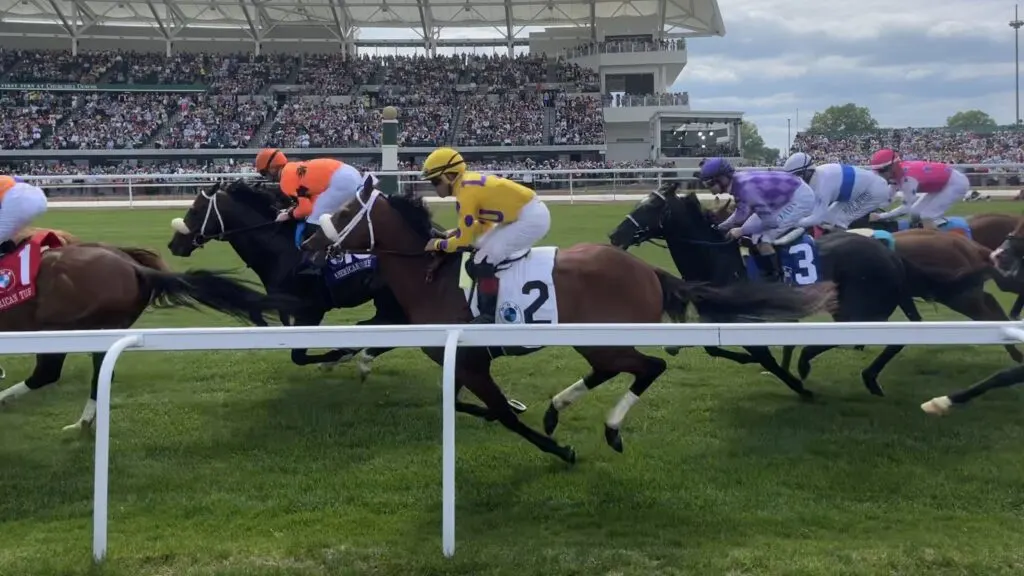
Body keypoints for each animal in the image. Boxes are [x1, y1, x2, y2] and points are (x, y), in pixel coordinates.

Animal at [0, 228, 299, 430]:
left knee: (46, 373)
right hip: (102, 326)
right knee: (98, 374)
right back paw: (84, 421)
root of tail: (133, 267)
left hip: (58, 325)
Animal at [165, 179, 405, 377]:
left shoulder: (311, 310)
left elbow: (298, 356)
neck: (282, 249)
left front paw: (335, 356)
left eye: (195, 210)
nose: (173, 245)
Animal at [294, 180, 831, 461]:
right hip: (594, 341)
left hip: (607, 337)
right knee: (614, 369)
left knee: (648, 367)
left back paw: (609, 428)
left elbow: (503, 416)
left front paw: (559, 451)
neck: (432, 280)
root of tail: (649, 270)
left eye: (347, 208)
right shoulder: (458, 363)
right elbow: (469, 406)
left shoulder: (471, 363)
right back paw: (558, 407)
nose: (309, 243)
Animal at [606, 186, 921, 397]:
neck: (720, 262)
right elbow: (714, 349)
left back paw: (817, 365)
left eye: (649, 207)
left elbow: (764, 356)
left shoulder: (748, 323)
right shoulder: (716, 321)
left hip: (858, 308)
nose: (614, 235)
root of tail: (887, 251)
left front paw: (799, 387)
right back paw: (864, 376)